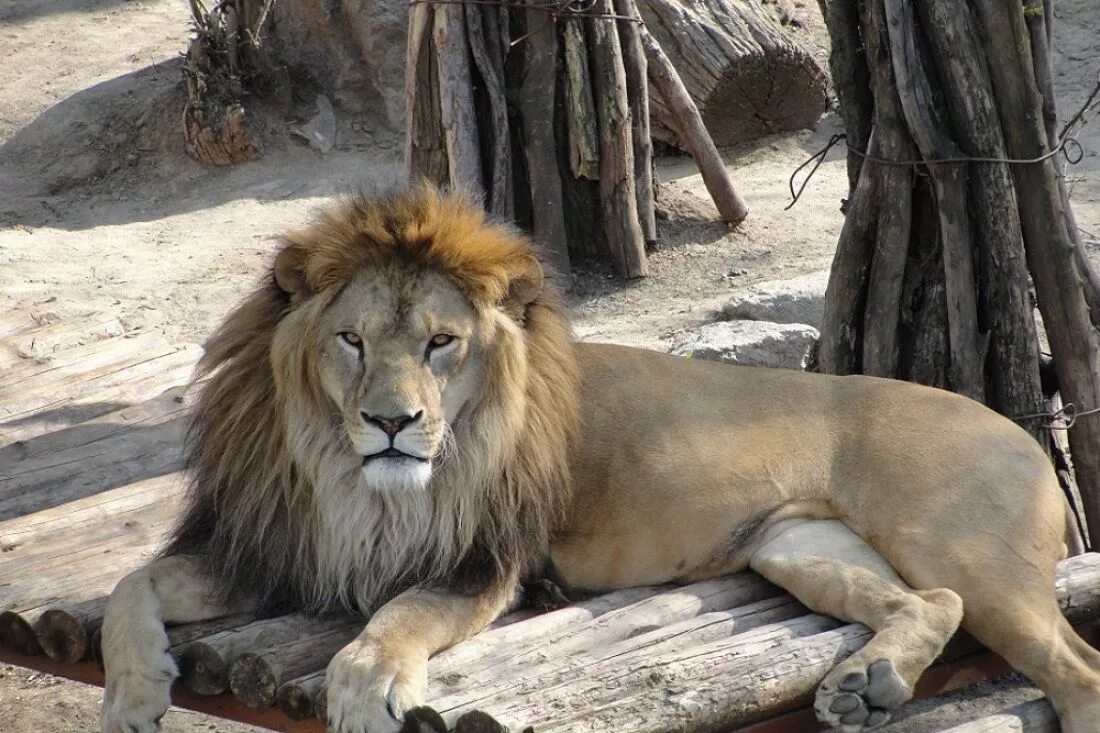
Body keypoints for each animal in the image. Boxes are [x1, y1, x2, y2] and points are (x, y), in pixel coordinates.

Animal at [101, 183, 1100, 730]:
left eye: (440, 343)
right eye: (350, 340)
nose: (392, 421)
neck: (351, 478)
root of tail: (1021, 429)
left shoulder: (482, 563)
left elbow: (398, 615)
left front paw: (362, 682)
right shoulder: (271, 546)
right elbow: (127, 586)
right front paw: (131, 694)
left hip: (958, 542)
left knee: (1071, 664)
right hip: (798, 545)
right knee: (931, 602)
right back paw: (867, 683)